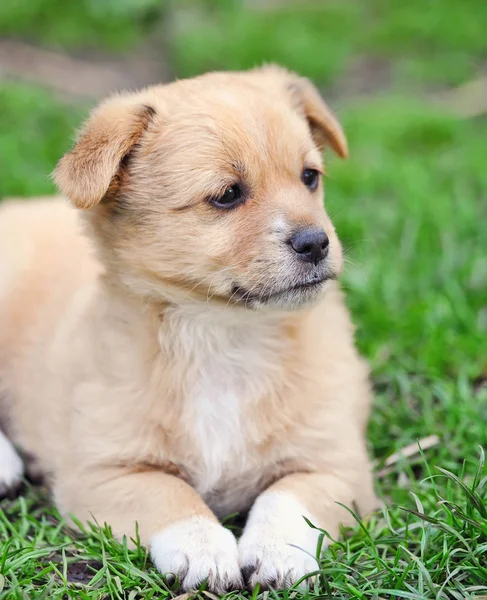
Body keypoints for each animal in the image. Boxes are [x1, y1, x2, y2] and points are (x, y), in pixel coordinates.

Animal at [0, 65, 378, 592]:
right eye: (227, 195)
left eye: (310, 177)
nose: (317, 242)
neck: (224, 336)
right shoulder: (104, 472)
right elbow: (170, 496)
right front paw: (204, 549)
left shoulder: (336, 464)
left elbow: (287, 500)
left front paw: (277, 552)